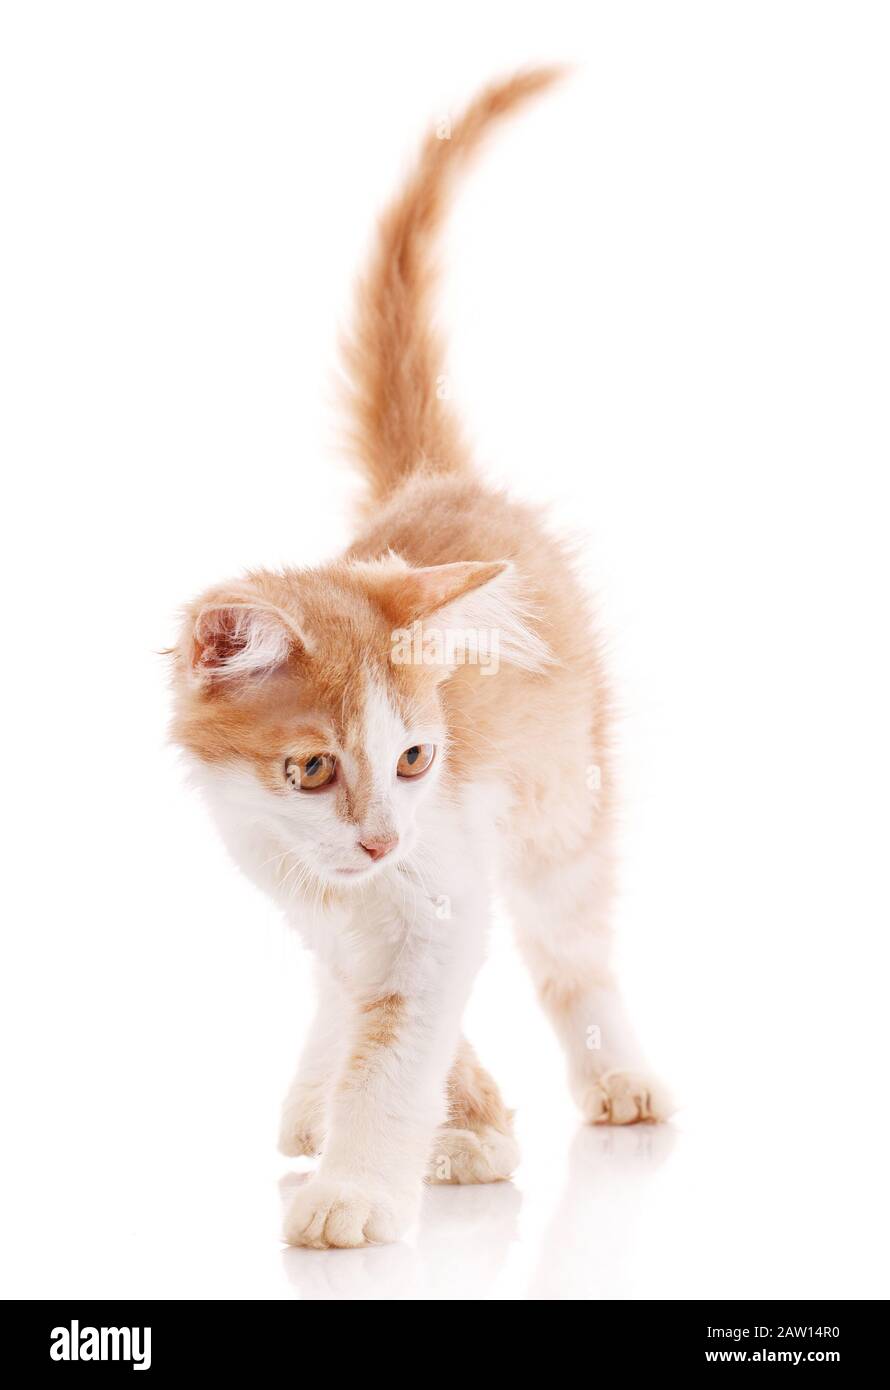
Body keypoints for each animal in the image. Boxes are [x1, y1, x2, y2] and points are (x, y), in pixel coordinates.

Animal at [168, 70, 667, 1256]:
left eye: (414, 759)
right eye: (311, 768)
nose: (380, 837)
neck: (334, 876)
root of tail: (442, 482)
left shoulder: (445, 887)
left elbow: (403, 1037)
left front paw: (366, 1183)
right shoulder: (306, 891)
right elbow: (371, 1005)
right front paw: (463, 1127)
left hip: (564, 808)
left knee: (573, 949)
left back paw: (616, 1076)